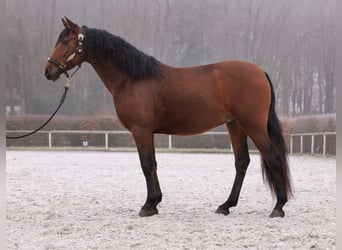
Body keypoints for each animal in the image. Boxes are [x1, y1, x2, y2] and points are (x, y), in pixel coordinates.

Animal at [44, 17, 292, 217]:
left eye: (65, 42)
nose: (48, 71)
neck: (133, 78)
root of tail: (260, 72)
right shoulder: (147, 132)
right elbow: (153, 164)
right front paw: (155, 203)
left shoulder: (141, 130)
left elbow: (146, 164)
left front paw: (148, 206)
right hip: (235, 126)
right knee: (242, 162)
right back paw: (226, 205)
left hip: (253, 126)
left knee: (272, 157)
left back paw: (278, 207)